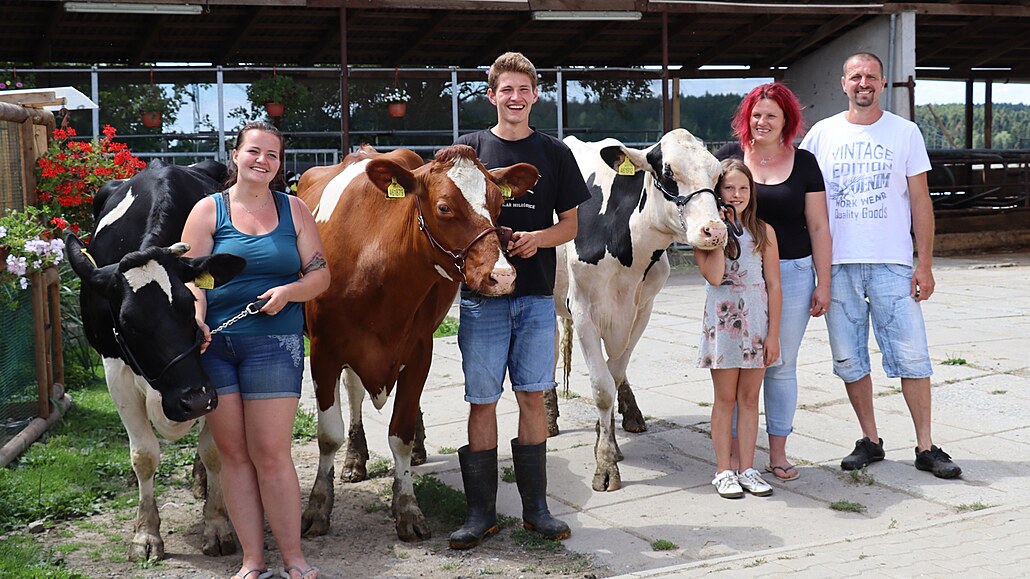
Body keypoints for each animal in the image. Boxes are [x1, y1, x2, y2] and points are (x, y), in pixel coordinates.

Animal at [67, 158, 245, 560]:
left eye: (190, 303)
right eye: (126, 322)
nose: (193, 400)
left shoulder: (211, 371)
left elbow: (214, 451)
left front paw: (217, 524)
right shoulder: (114, 367)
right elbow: (144, 455)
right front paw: (146, 534)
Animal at [298, 143, 539, 535]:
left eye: (497, 203)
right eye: (443, 207)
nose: (502, 275)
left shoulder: (420, 349)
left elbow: (401, 433)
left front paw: (407, 508)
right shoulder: (323, 351)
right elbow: (328, 435)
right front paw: (318, 507)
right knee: (353, 390)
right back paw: (354, 459)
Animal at [552, 128, 729, 488]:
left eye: (717, 176)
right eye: (668, 173)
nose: (715, 231)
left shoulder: (642, 310)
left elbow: (615, 373)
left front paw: (606, 441)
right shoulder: (583, 311)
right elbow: (602, 386)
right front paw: (605, 463)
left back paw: (631, 413)